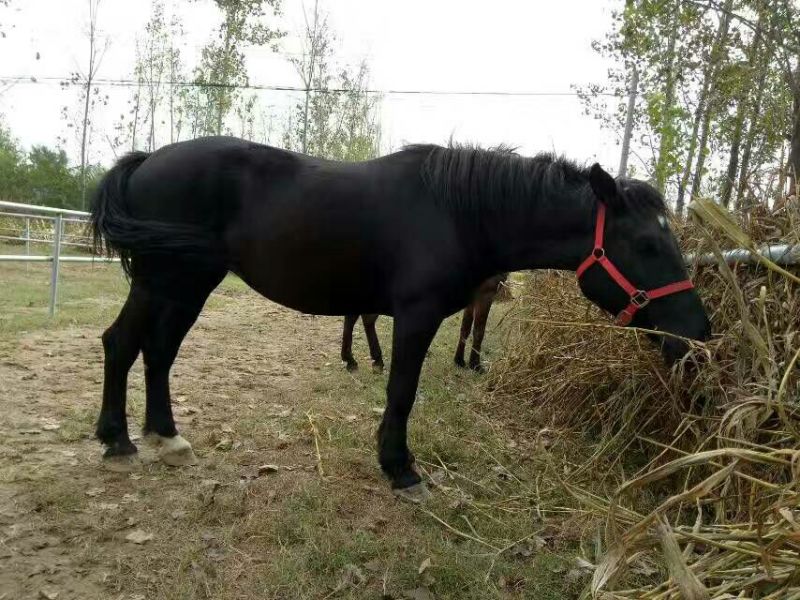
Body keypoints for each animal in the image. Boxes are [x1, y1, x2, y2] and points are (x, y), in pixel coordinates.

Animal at [341, 273, 508, 374]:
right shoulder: (486, 291)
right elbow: (479, 330)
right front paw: (476, 365)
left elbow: (465, 327)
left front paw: (459, 360)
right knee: (366, 318)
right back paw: (372, 360)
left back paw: (352, 360)